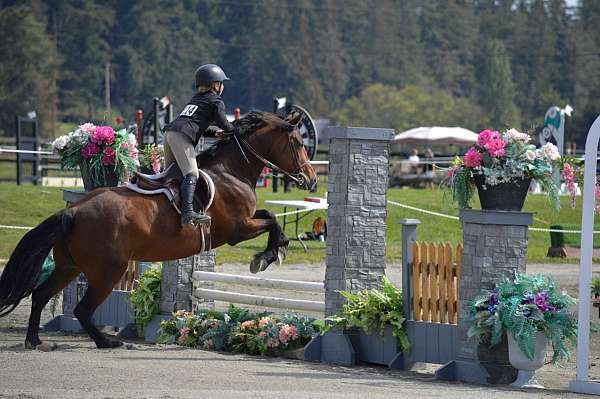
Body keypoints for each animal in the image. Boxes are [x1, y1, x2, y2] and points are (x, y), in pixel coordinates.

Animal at [0, 110, 318, 350]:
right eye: (298, 143)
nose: (312, 180)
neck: (232, 171)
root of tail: (73, 210)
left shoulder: (247, 220)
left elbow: (270, 215)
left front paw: (273, 252)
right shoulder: (237, 230)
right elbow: (273, 221)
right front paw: (267, 257)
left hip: (69, 266)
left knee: (40, 295)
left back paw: (36, 341)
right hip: (108, 271)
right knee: (82, 309)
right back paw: (107, 342)